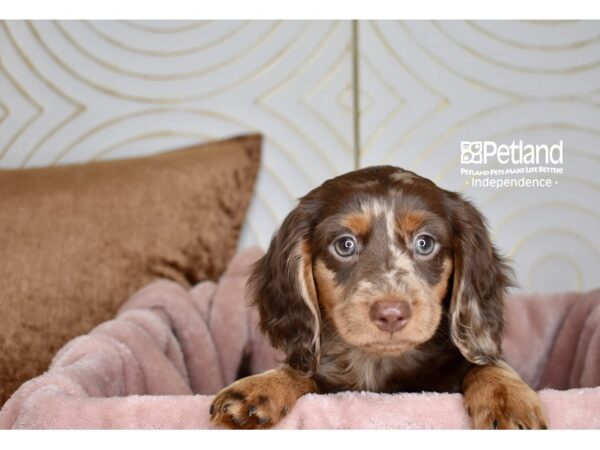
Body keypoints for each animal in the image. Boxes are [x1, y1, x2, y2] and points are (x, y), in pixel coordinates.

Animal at [209, 165, 548, 428]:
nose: (391, 313)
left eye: (425, 243)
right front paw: (262, 385)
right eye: (344, 245)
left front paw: (506, 398)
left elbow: (485, 365)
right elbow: (304, 374)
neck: (378, 365)